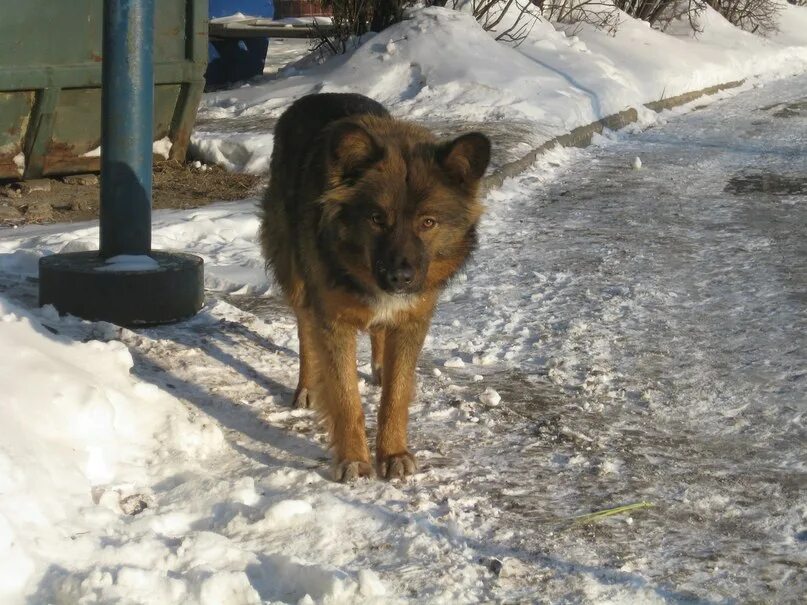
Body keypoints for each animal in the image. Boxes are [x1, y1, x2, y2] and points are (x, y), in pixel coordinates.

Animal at [264, 93, 492, 482]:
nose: (400, 278)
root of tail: (315, 96)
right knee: (305, 329)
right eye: (376, 219)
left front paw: (394, 452)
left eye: (427, 222)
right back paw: (307, 386)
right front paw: (354, 459)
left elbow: (396, 397)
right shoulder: (333, 322)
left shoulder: (413, 320)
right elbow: (345, 398)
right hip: (295, 274)